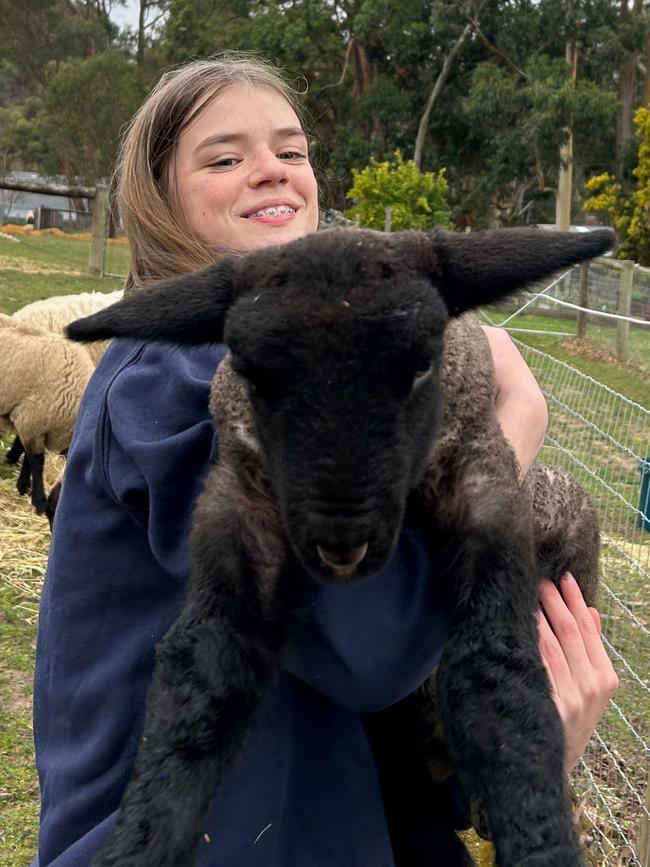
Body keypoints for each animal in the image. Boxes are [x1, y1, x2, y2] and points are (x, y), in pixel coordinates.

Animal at [67, 227, 612, 864]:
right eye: (253, 374)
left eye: (421, 364)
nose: (341, 546)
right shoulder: (238, 503)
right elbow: (203, 674)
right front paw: (141, 843)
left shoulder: (489, 490)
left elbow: (498, 675)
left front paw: (541, 842)